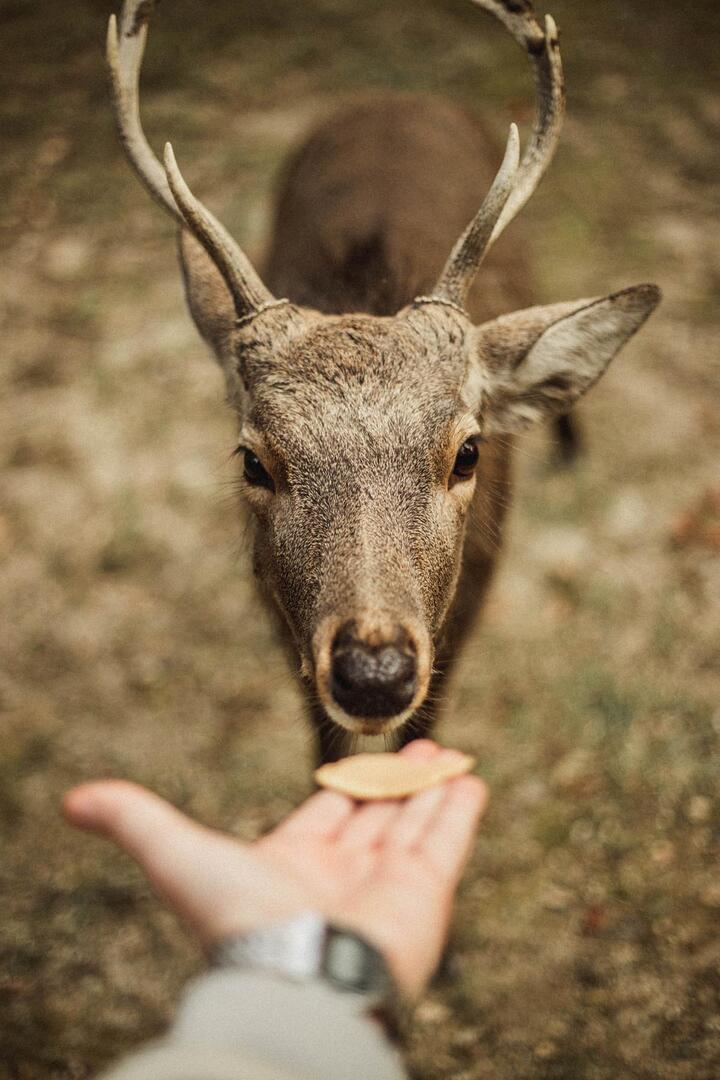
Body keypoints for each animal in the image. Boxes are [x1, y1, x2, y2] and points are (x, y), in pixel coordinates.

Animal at [104, 0, 660, 764]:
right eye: (253, 460)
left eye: (469, 453)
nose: (374, 674)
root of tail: (396, 95)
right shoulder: (280, 617)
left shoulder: (468, 606)